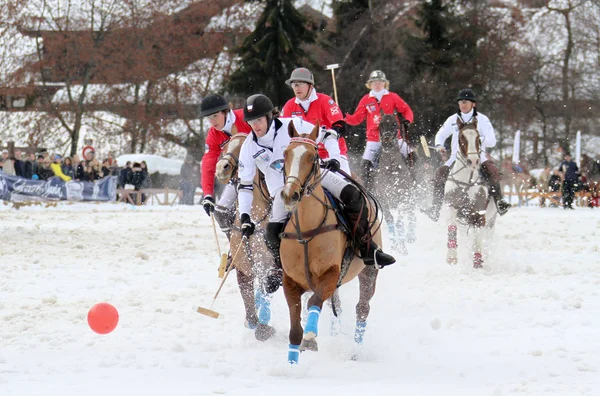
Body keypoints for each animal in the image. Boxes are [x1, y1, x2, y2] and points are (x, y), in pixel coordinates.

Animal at [213, 130, 276, 340]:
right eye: (224, 147)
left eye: (242, 150)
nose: (221, 168)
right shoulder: (243, 266)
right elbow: (248, 298)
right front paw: (254, 321)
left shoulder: (271, 264)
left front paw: (264, 328)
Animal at [278, 121, 380, 366]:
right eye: (286, 154)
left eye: (312, 156)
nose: (290, 195)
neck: (306, 230)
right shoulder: (290, 281)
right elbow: (295, 327)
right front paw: (292, 363)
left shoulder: (331, 273)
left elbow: (314, 302)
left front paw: (311, 338)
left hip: (369, 271)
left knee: (362, 308)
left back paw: (355, 351)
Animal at [372, 111, 420, 254]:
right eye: (380, 124)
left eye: (395, 125)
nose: (386, 141)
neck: (391, 169)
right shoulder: (383, 198)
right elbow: (390, 218)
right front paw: (394, 244)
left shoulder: (403, 198)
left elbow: (400, 221)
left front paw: (403, 246)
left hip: (411, 197)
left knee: (411, 214)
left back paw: (410, 236)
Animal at [442, 119, 500, 270]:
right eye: (461, 138)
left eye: (479, 138)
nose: (473, 161)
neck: (465, 181)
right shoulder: (451, 207)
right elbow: (452, 229)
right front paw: (451, 258)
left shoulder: (479, 214)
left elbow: (478, 240)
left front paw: (478, 263)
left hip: (491, 220)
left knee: (487, 239)